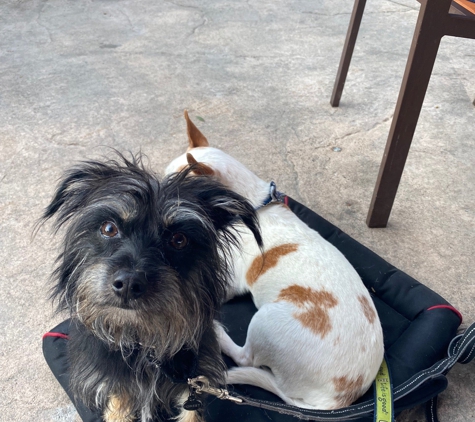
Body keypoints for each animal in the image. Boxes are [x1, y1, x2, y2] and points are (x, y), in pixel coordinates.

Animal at [40, 156, 262, 422]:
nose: (128, 284)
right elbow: (118, 408)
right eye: (108, 228)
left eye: (179, 240)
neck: (143, 344)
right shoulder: (118, 385)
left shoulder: (193, 384)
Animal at [165, 110, 384, 410]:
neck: (251, 205)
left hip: (265, 321)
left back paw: (219, 334)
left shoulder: (228, 280)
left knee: (245, 357)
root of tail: (334, 401)